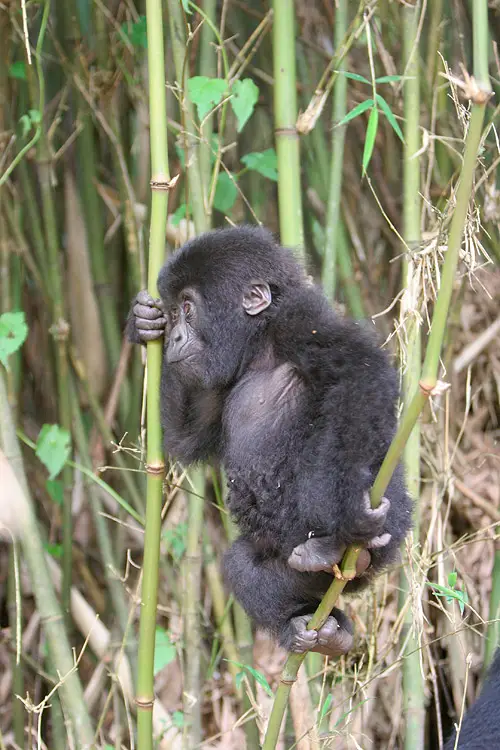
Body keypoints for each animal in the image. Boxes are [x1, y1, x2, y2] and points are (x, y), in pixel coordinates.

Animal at [127, 226, 412, 656]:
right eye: (173, 311)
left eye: (189, 308)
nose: (174, 336)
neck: (259, 344)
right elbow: (186, 437)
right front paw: (144, 323)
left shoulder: (299, 321)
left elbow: (359, 373)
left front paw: (349, 505)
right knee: (245, 566)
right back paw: (313, 627)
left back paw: (335, 543)